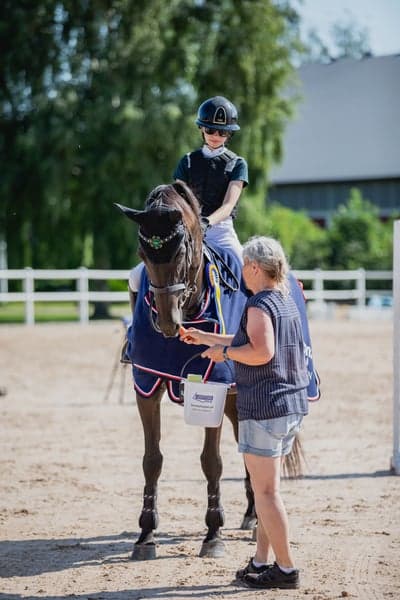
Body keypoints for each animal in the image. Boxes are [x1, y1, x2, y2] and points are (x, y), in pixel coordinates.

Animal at [115, 182, 318, 564]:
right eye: (142, 252)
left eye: (181, 251)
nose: (168, 324)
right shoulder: (145, 385)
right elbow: (152, 460)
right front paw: (146, 535)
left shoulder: (215, 389)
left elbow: (211, 462)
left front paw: (213, 534)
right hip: (240, 399)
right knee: (249, 446)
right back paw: (252, 515)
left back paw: (255, 521)